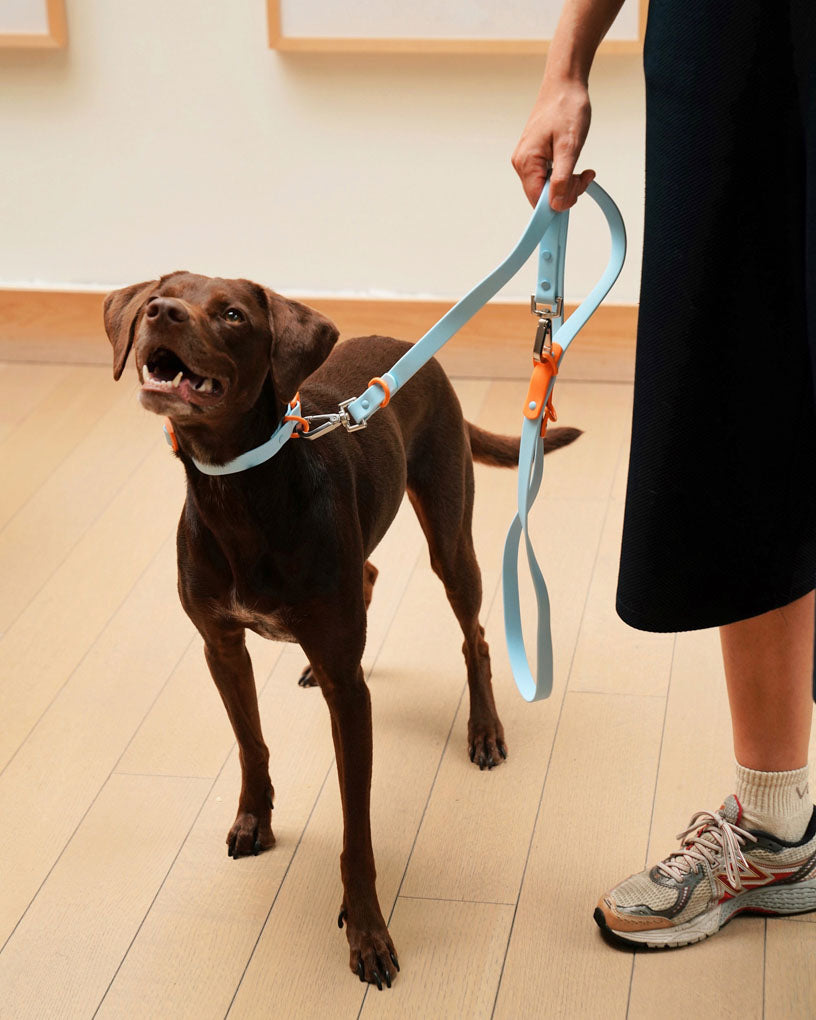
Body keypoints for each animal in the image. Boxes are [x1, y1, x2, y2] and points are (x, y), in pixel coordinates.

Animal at [103, 271, 579, 987]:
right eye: (164, 292)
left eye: (233, 315)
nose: (162, 312)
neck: (241, 494)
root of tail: (413, 350)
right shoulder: (221, 646)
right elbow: (251, 744)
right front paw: (254, 819)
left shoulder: (352, 699)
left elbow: (357, 831)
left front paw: (367, 930)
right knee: (371, 573)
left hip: (449, 532)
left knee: (475, 635)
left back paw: (484, 729)